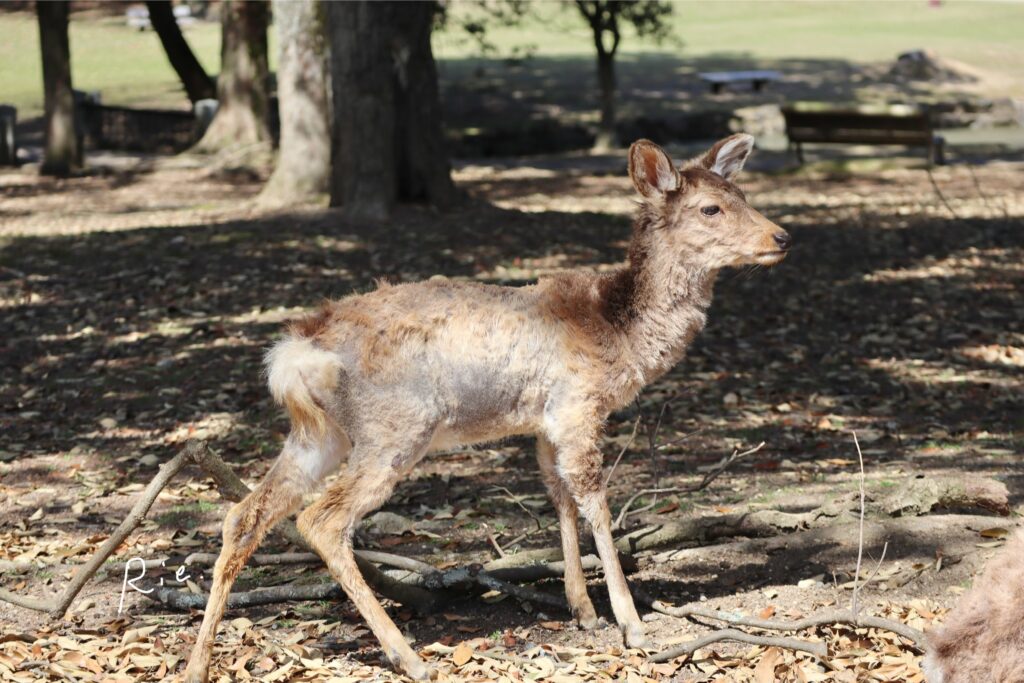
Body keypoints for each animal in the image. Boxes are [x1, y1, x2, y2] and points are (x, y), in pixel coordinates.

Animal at [182, 134, 791, 682]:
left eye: (743, 193)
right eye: (711, 207)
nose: (781, 236)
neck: (618, 336)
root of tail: (296, 352)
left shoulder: (545, 422)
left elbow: (559, 498)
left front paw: (583, 612)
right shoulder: (579, 406)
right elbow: (595, 501)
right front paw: (632, 624)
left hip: (320, 434)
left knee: (245, 514)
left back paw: (196, 664)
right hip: (396, 426)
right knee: (320, 519)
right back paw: (408, 657)